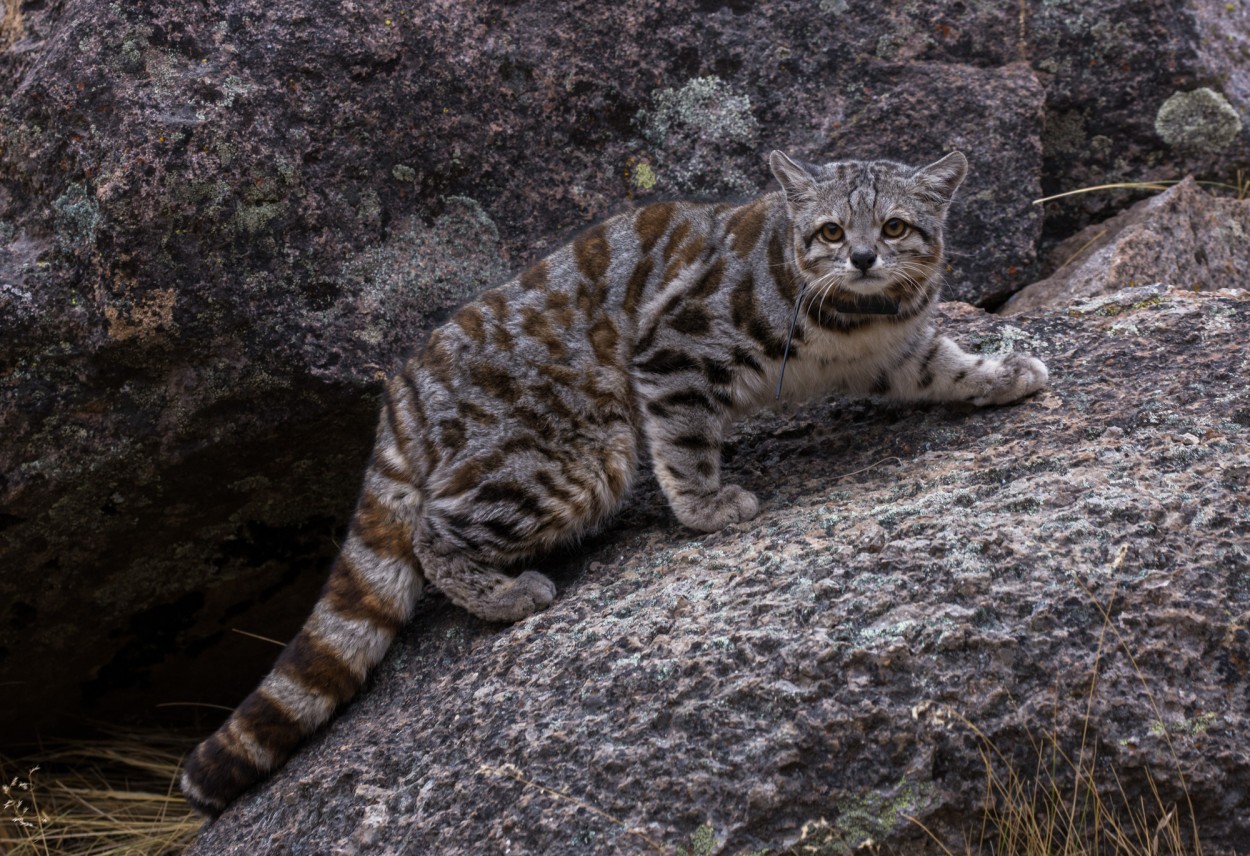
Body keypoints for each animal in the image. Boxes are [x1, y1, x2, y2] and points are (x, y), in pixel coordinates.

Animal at [181, 148, 1050, 814]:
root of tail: (402, 394)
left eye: (895, 226)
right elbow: (683, 444)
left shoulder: (899, 354)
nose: (864, 258)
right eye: (831, 230)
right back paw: (505, 595)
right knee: (433, 528)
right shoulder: (673, 348)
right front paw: (707, 506)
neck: (855, 317)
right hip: (572, 453)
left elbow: (947, 366)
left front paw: (1002, 373)